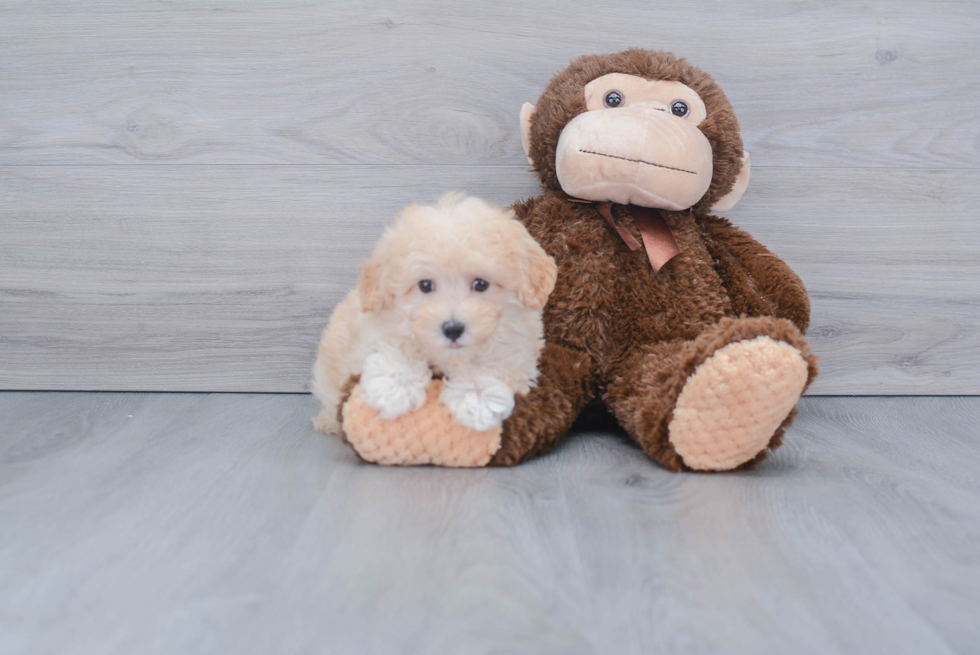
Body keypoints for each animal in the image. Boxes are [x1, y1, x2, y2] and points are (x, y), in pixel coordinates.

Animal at [314, 193, 560, 436]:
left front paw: (478, 399)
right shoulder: (376, 328)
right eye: (425, 285)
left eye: (481, 284)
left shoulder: (518, 347)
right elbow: (394, 346)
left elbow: (495, 363)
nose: (452, 329)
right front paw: (395, 387)